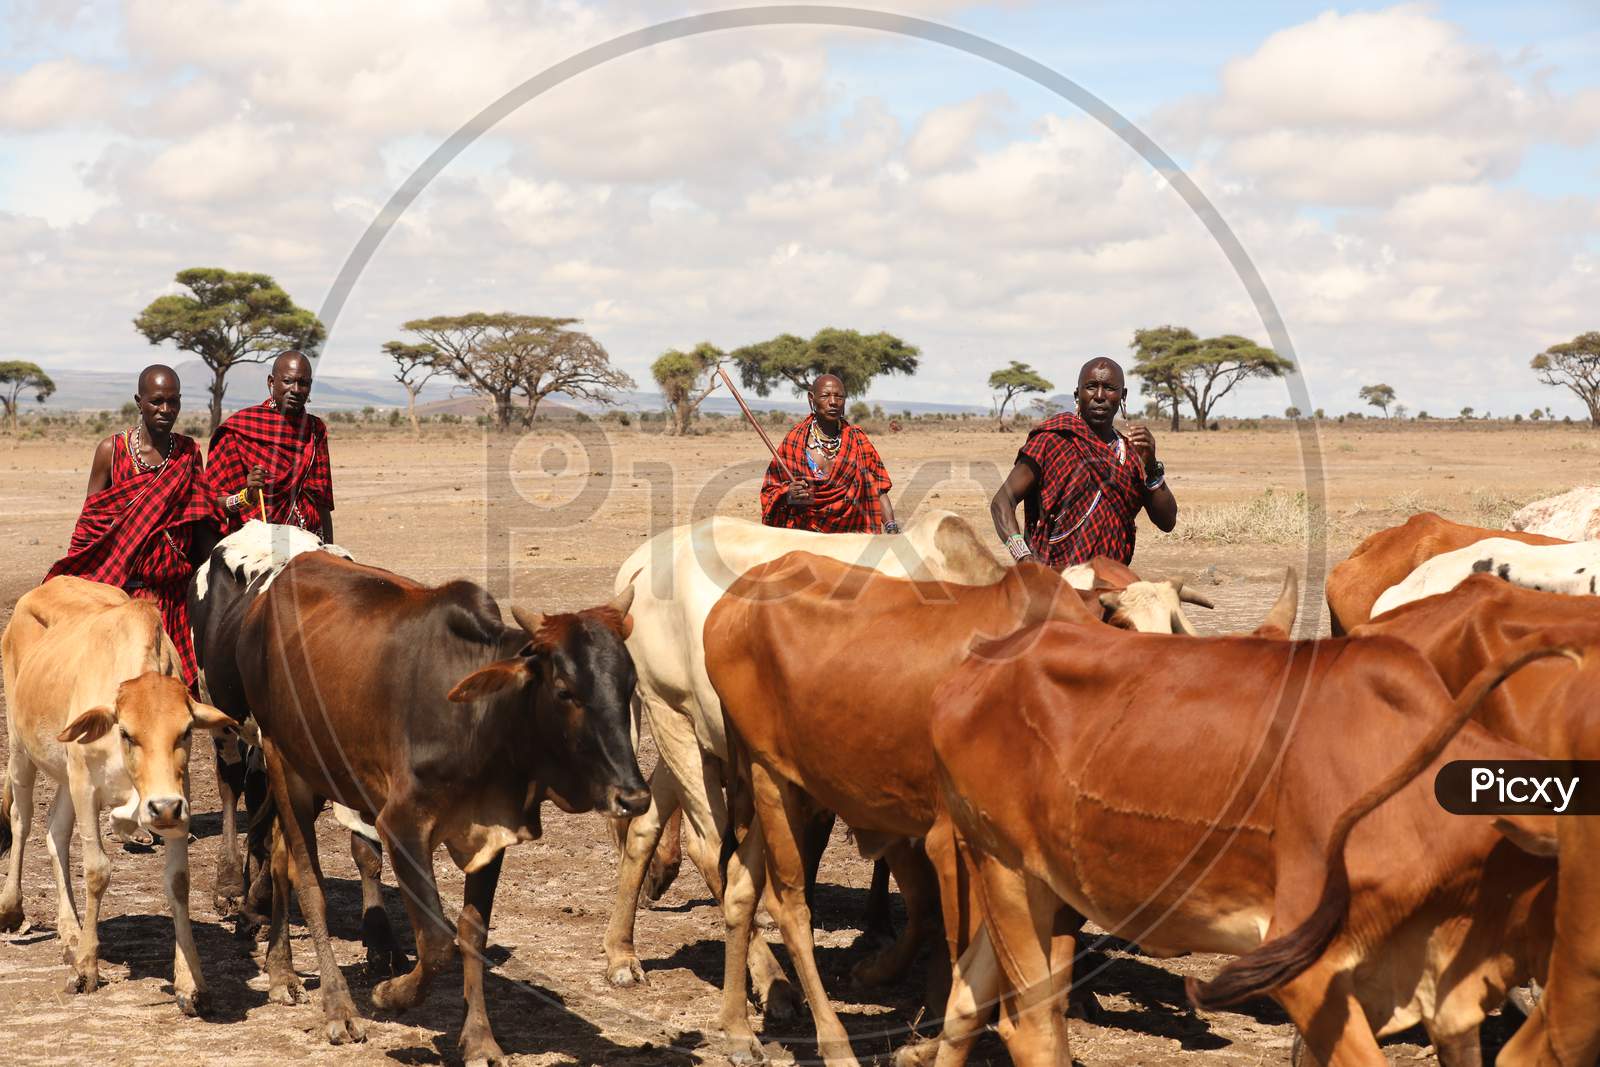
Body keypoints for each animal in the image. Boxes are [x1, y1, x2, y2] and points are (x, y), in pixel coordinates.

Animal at [0, 579, 236, 1017]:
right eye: (126, 732)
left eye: (186, 732)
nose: (162, 807)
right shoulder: (85, 786)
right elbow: (97, 870)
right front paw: (86, 969)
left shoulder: (178, 795)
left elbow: (178, 881)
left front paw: (191, 983)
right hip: (22, 749)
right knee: (23, 821)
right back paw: (13, 909)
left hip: (64, 770)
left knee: (55, 833)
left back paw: (70, 934)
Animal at [236, 550, 649, 1062]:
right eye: (565, 690)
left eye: (629, 685)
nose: (633, 795)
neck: (481, 719)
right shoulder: (401, 826)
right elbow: (435, 941)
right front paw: (389, 994)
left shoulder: (491, 833)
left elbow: (471, 932)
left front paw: (480, 1040)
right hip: (282, 762)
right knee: (307, 881)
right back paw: (338, 1009)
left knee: (278, 860)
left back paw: (282, 972)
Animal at [604, 511, 1203, 1011]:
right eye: (1124, 629)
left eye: (1171, 632)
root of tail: (641, 561)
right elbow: (927, 900)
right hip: (673, 718)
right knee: (709, 846)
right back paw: (772, 982)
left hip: (692, 727)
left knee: (647, 824)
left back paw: (622, 953)